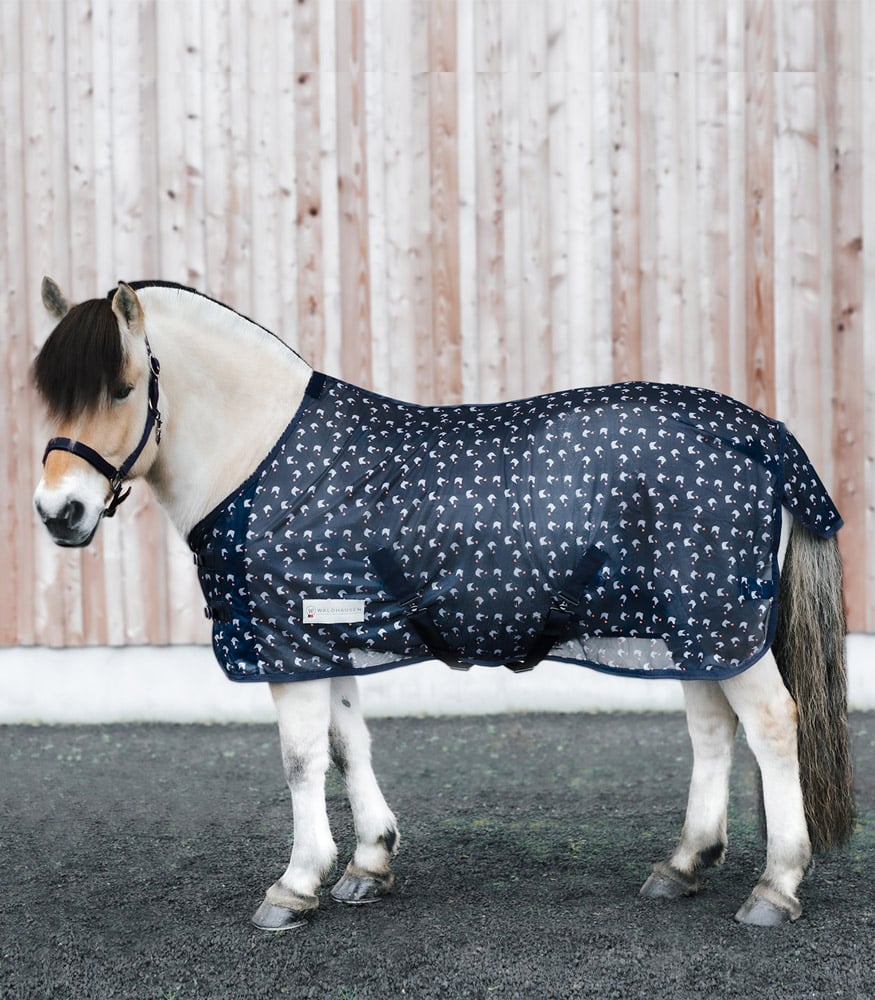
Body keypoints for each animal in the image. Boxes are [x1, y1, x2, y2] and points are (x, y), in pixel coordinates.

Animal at [32, 277, 854, 931]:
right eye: (48, 394)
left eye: (121, 388)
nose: (58, 512)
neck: (262, 455)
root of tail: (766, 435)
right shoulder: (330, 635)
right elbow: (347, 744)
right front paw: (368, 864)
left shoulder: (288, 644)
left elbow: (301, 759)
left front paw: (295, 885)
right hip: (695, 628)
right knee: (713, 730)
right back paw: (682, 864)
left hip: (719, 623)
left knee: (771, 725)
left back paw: (775, 886)